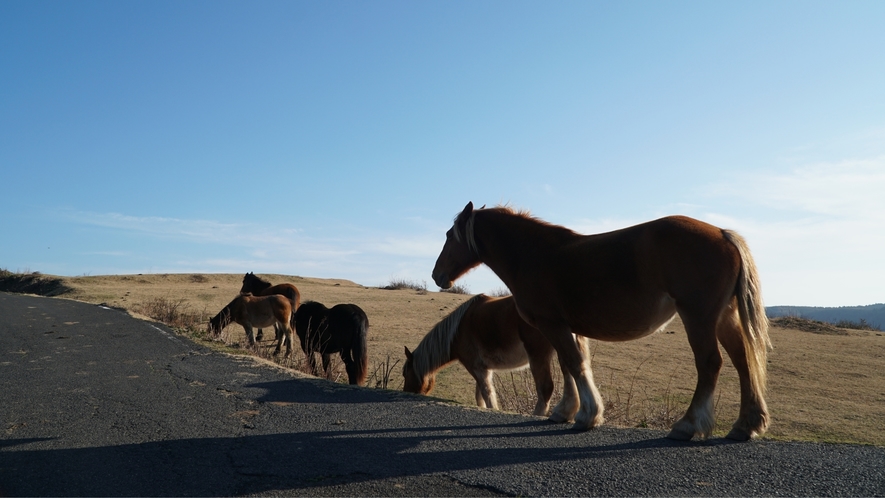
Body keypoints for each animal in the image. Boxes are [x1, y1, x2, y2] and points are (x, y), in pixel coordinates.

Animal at [400, 292, 572, 416]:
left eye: (405, 373)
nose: (406, 392)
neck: (457, 332)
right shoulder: (484, 369)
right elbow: (481, 396)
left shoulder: (476, 369)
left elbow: (487, 393)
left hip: (538, 356)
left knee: (546, 388)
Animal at [432, 202, 772, 440]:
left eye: (449, 236)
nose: (437, 275)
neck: (534, 255)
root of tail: (723, 234)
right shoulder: (564, 329)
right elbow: (571, 366)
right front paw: (566, 411)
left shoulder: (552, 325)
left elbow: (574, 364)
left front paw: (586, 416)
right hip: (724, 318)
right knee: (743, 363)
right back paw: (745, 426)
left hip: (698, 317)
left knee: (710, 364)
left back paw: (687, 426)